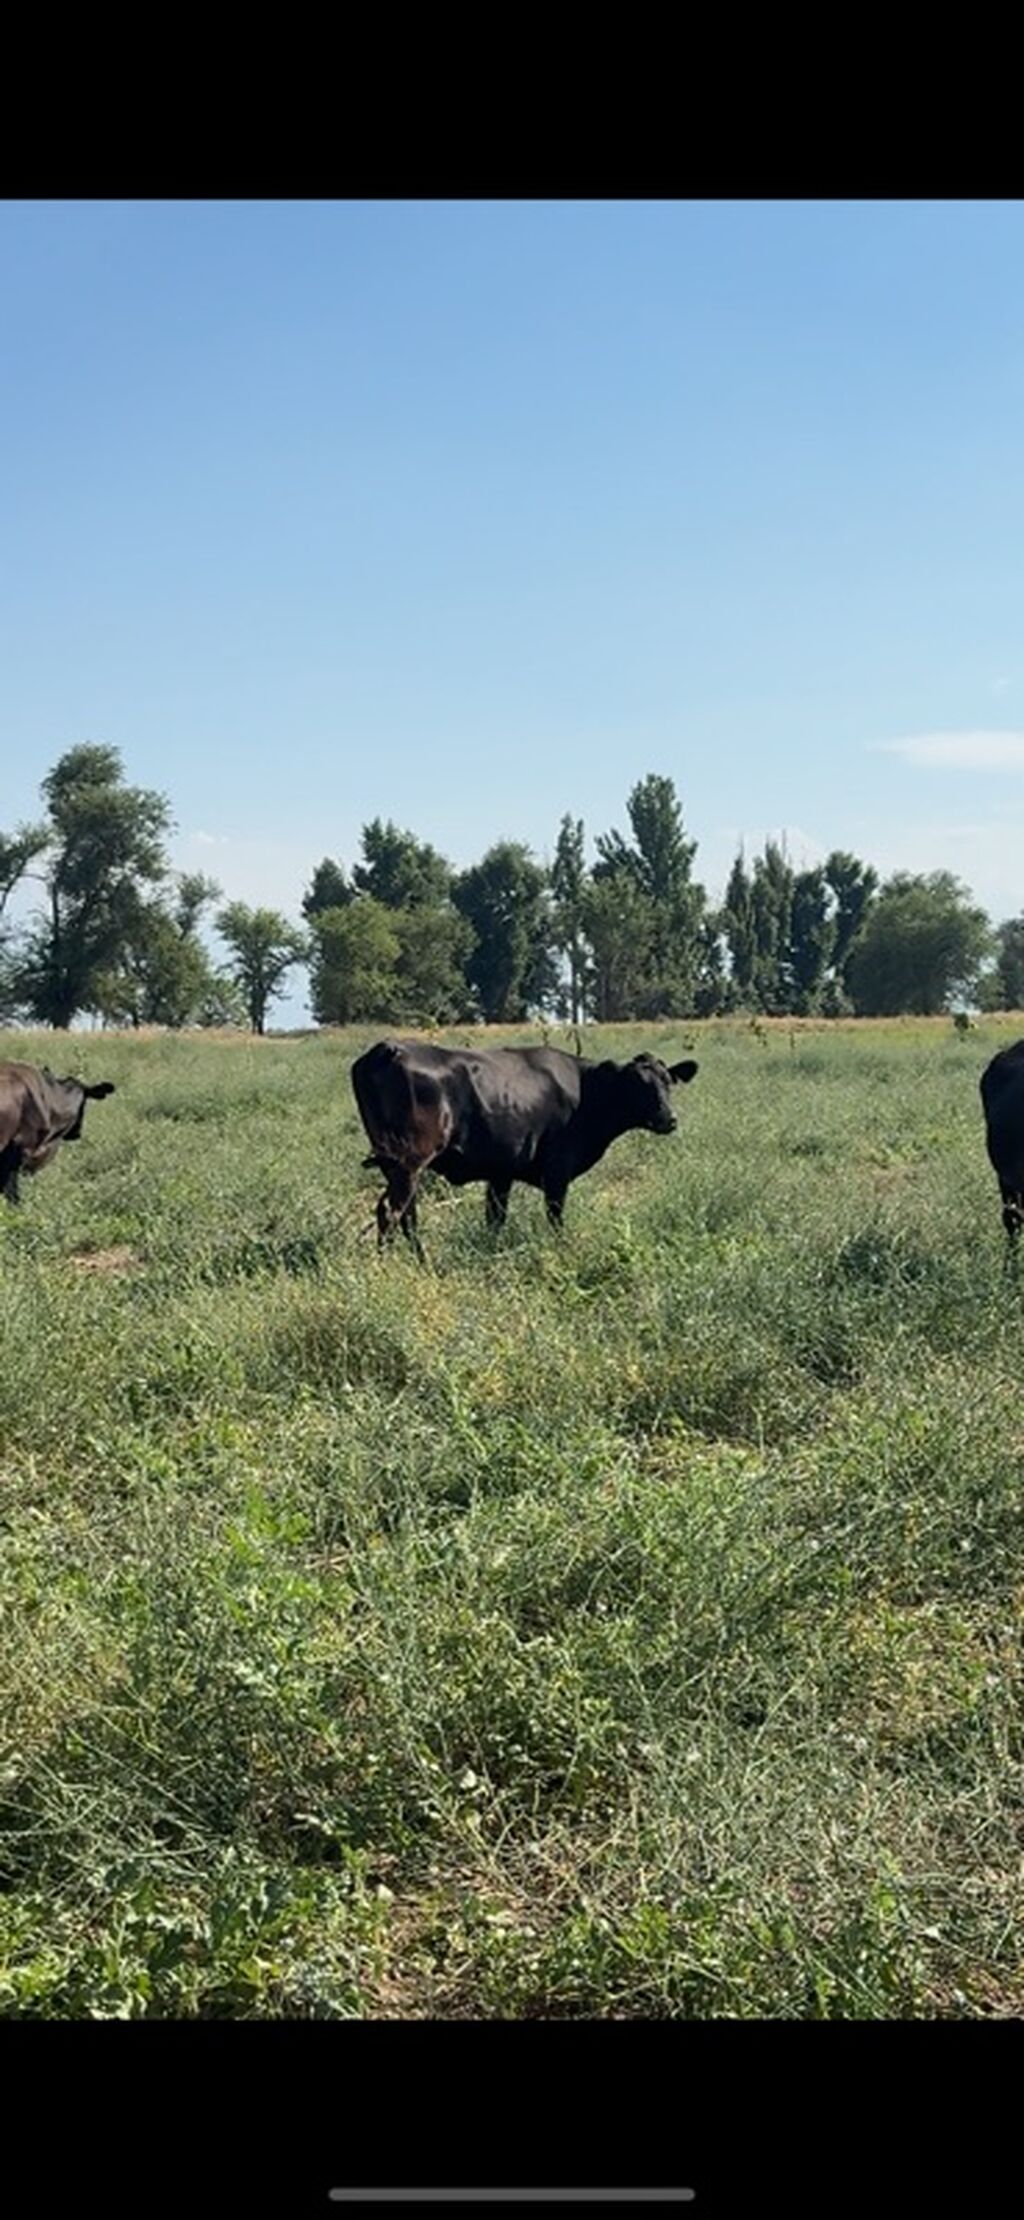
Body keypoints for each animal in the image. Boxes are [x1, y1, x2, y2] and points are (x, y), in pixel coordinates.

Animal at [351, 1037, 698, 1257]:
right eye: (637, 1085)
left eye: (668, 1081)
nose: (669, 1119)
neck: (585, 1090)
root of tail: (390, 1048)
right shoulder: (557, 1171)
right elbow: (555, 1218)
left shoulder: (501, 1172)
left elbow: (495, 1219)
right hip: (410, 1161)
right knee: (391, 1212)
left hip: (396, 1165)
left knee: (406, 1215)